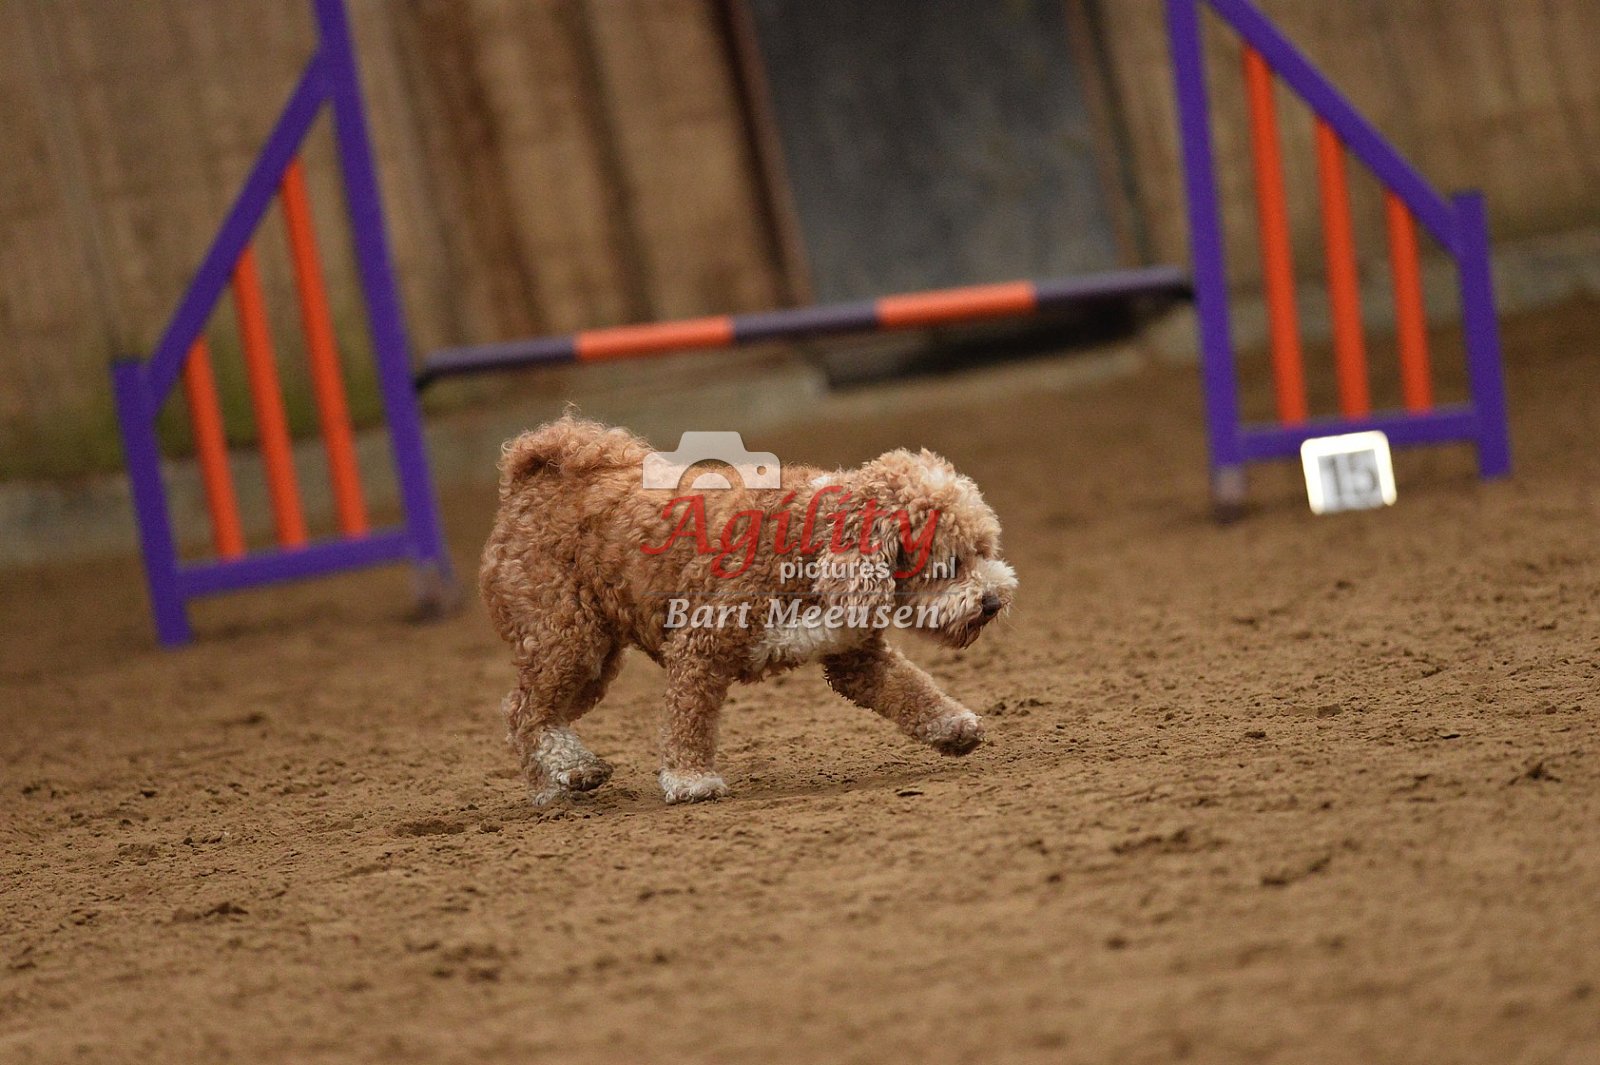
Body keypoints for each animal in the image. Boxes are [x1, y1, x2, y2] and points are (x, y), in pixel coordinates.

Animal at [480, 415, 1017, 805]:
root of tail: (530, 477)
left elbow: (911, 689)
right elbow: (690, 717)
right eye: (949, 564)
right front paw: (690, 780)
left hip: (594, 656)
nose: (992, 602)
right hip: (568, 636)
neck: (807, 537)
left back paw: (556, 782)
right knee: (524, 710)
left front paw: (954, 727)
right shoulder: (700, 645)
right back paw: (569, 773)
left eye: (984, 550)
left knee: (531, 713)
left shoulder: (857, 657)